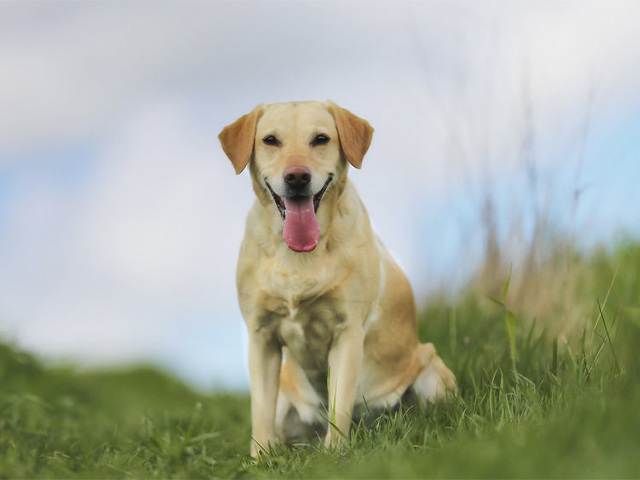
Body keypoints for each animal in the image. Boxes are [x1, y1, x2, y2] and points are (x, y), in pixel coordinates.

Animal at [219, 99, 456, 456]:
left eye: (321, 139)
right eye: (271, 140)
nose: (297, 176)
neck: (299, 254)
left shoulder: (348, 332)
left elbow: (339, 403)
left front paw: (336, 455)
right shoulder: (261, 336)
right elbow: (259, 411)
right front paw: (260, 459)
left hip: (432, 371)